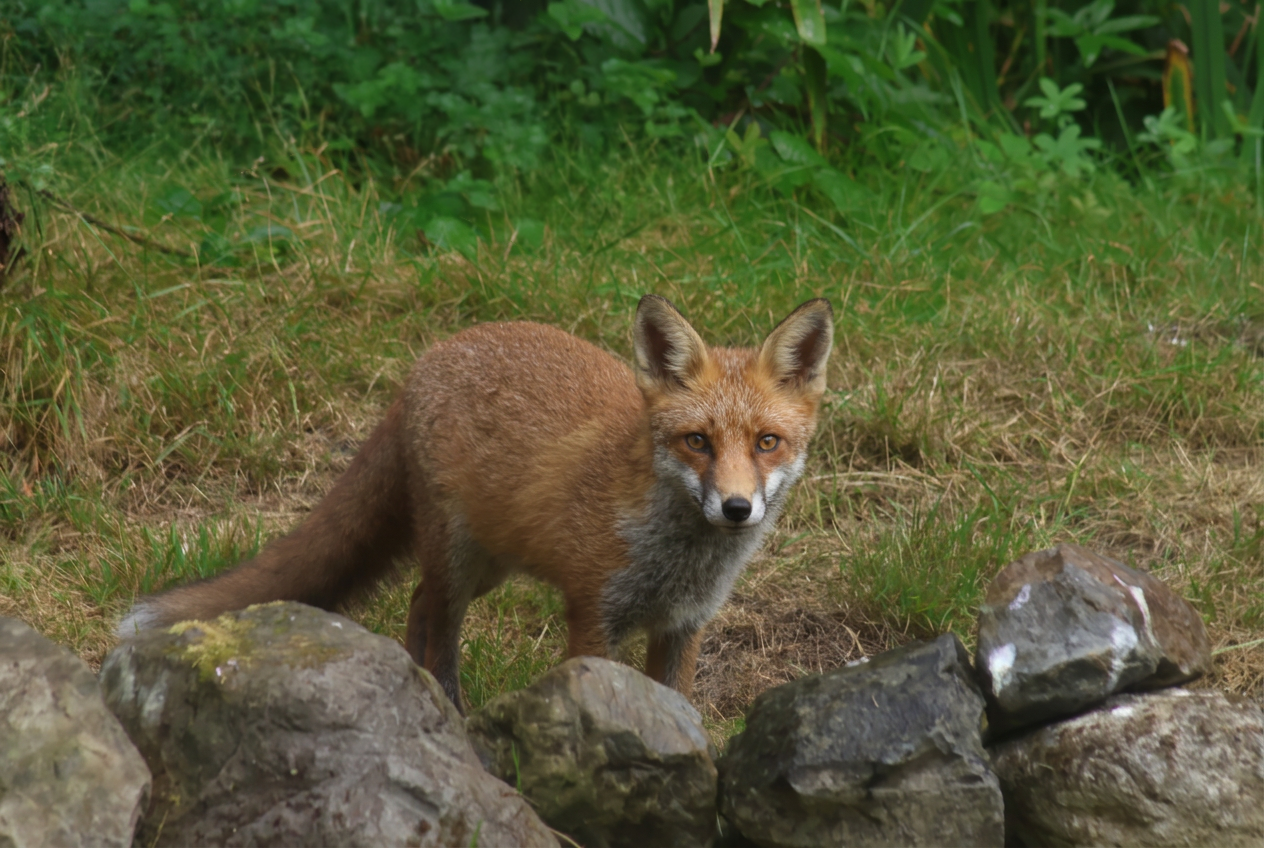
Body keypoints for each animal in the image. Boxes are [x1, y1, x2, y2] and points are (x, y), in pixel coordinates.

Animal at [118, 294, 833, 708]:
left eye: (767, 442)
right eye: (697, 441)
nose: (736, 509)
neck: (675, 558)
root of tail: (430, 356)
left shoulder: (684, 627)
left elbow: (682, 710)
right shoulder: (592, 615)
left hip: (490, 562)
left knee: (414, 604)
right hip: (457, 558)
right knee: (435, 622)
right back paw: (447, 707)